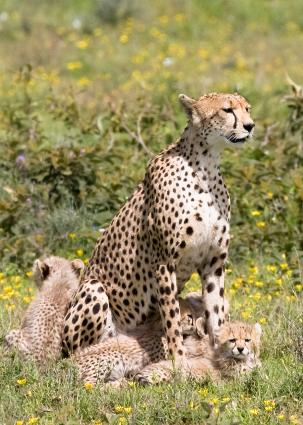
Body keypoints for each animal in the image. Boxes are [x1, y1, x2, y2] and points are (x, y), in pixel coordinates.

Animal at [63, 91, 255, 360]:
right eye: (227, 110)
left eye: (247, 109)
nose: (250, 126)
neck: (206, 166)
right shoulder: (165, 263)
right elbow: (172, 318)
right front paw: (178, 361)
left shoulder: (214, 263)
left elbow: (216, 313)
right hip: (93, 290)